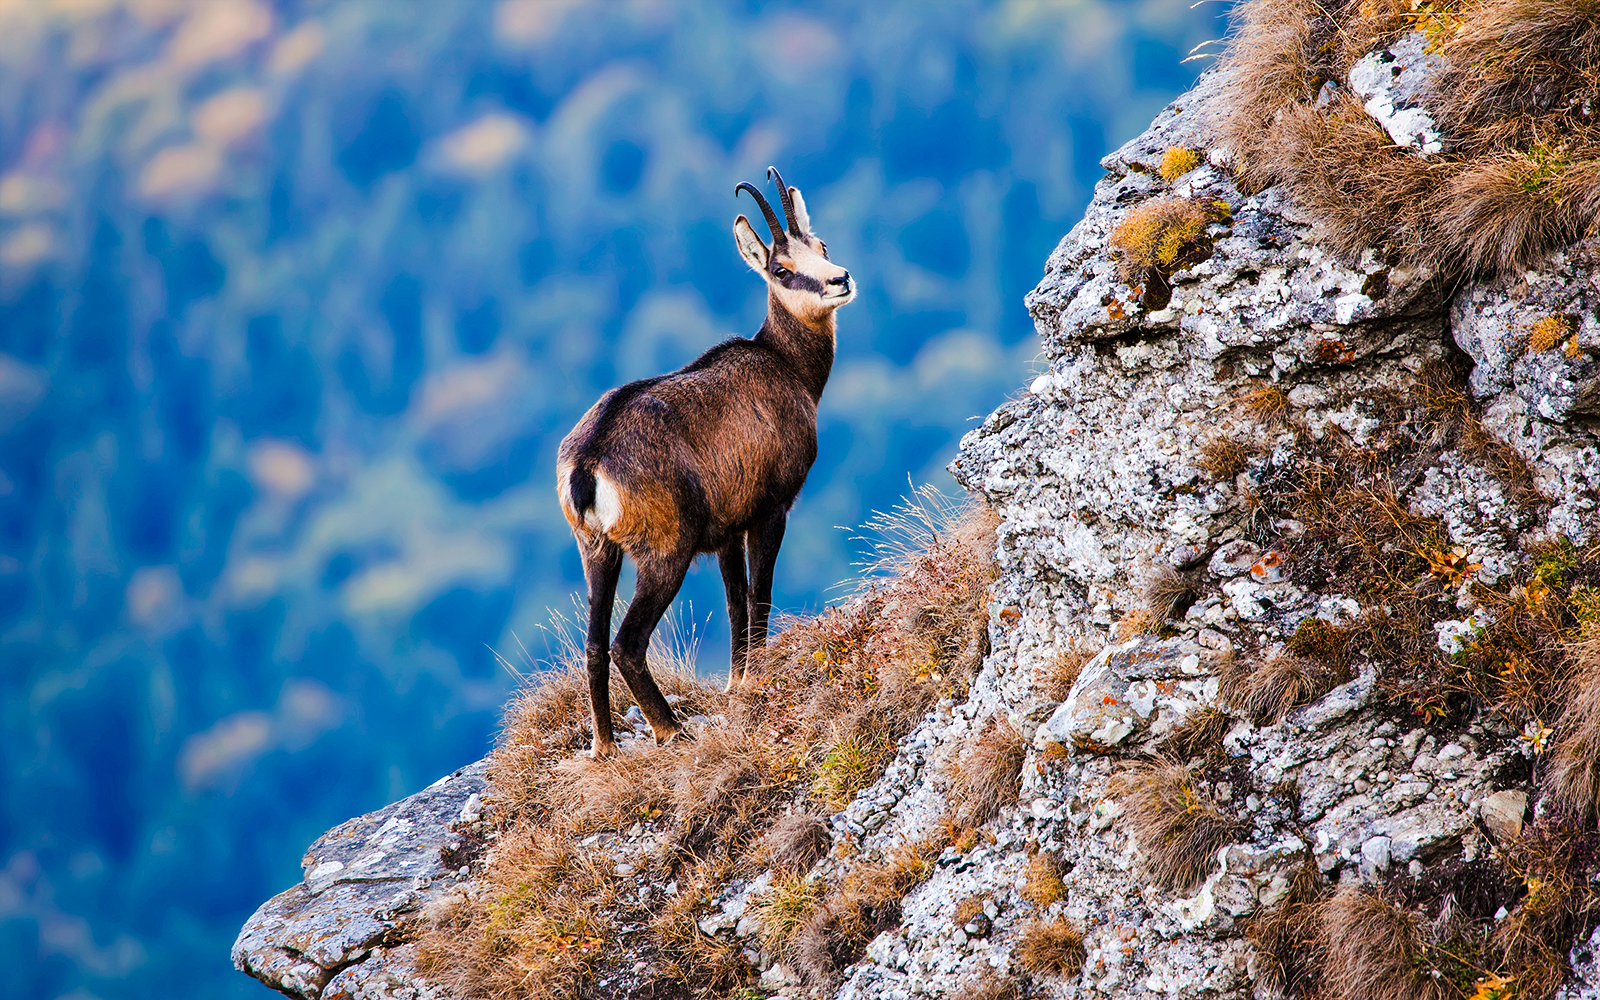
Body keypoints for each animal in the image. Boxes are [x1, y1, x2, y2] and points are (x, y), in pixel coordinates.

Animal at [556, 167, 854, 758]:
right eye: (782, 270)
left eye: (822, 247)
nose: (840, 279)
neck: (788, 366)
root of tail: (588, 463)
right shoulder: (769, 510)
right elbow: (759, 596)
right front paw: (758, 678)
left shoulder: (726, 532)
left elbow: (735, 600)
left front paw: (740, 681)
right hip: (665, 550)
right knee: (626, 642)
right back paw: (671, 729)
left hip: (597, 549)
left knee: (595, 643)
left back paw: (605, 747)